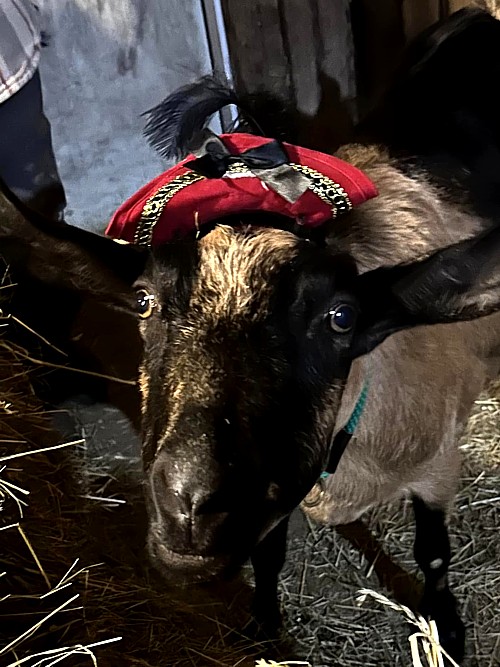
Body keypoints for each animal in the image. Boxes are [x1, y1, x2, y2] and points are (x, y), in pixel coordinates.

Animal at [2, 7, 500, 664]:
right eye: (144, 301)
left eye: (341, 317)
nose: (190, 503)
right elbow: (268, 553)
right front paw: (263, 621)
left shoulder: (438, 463)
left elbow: (434, 553)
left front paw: (447, 630)